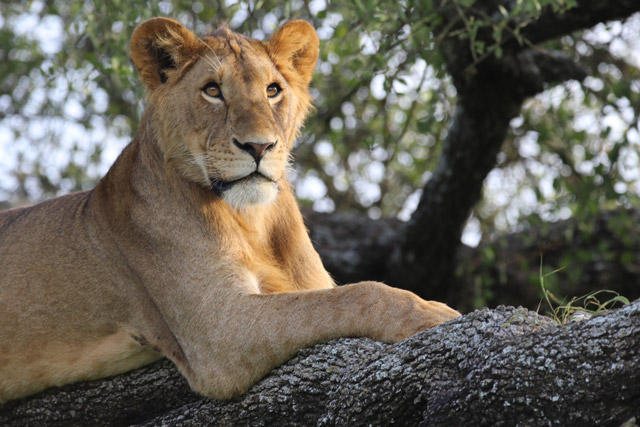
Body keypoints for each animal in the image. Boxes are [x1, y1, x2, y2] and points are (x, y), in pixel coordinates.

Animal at [0, 17, 460, 402]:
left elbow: (334, 296)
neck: (252, 221)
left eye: (273, 90)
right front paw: (431, 312)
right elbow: (351, 296)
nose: (259, 146)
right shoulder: (219, 333)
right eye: (212, 90)